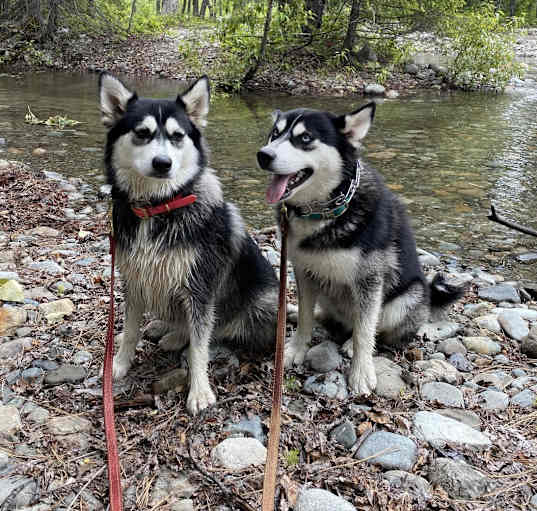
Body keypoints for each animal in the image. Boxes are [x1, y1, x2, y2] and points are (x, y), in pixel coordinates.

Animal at [98, 73, 278, 416]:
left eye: (177, 136)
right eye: (142, 133)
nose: (163, 163)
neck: (157, 207)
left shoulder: (200, 289)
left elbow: (198, 347)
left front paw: (199, 391)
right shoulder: (134, 280)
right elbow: (130, 332)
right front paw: (119, 365)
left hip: (260, 304)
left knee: (219, 330)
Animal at [255, 102, 464, 398]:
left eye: (305, 138)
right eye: (275, 133)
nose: (263, 155)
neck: (325, 212)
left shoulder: (370, 279)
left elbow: (365, 332)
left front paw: (361, 371)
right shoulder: (303, 271)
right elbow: (306, 317)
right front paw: (295, 348)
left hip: (406, 298)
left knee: (374, 328)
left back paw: (350, 343)